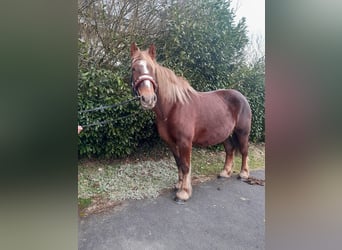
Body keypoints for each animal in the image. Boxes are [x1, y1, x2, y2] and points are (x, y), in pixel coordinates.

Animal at [130, 43, 251, 202]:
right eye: (133, 68)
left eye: (152, 68)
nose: (148, 99)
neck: (173, 107)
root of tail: (242, 97)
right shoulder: (171, 142)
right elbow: (179, 163)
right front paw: (179, 184)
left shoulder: (185, 142)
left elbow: (186, 165)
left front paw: (184, 192)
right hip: (225, 134)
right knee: (230, 150)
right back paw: (225, 172)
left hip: (242, 132)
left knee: (244, 150)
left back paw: (244, 174)